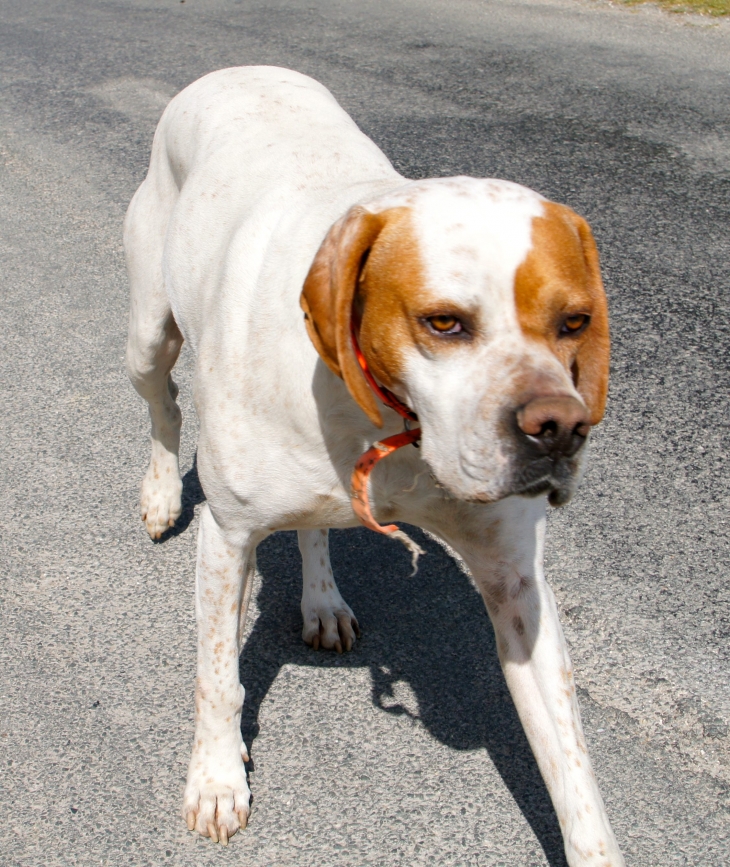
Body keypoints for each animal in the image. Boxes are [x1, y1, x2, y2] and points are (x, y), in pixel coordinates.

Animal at [123, 64, 620, 864]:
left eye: (574, 321)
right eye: (444, 322)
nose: (559, 431)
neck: (398, 430)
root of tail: (239, 68)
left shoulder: (517, 584)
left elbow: (574, 771)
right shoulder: (228, 538)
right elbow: (218, 680)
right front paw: (217, 777)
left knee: (315, 524)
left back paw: (322, 599)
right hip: (147, 333)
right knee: (164, 409)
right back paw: (164, 492)